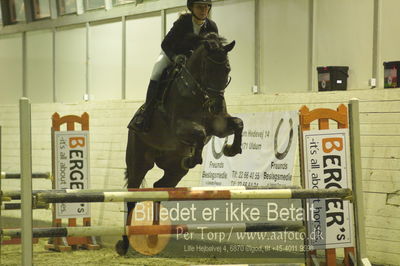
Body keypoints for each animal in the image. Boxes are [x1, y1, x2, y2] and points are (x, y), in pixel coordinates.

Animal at [115, 32, 244, 255]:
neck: (199, 93)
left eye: (227, 69)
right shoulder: (180, 126)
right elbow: (200, 133)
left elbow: (237, 123)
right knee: (131, 197)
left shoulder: (219, 125)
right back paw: (124, 244)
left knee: (159, 188)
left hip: (174, 170)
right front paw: (194, 158)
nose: (216, 105)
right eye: (208, 69)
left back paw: (153, 236)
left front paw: (231, 149)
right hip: (139, 162)